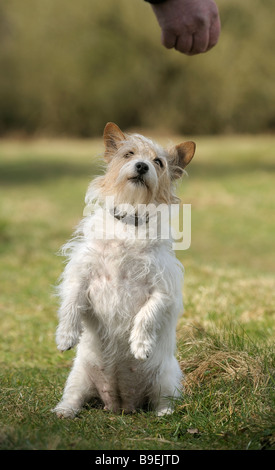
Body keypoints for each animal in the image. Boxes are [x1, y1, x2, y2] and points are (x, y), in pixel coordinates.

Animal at [53, 123, 196, 416]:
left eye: (158, 162)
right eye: (129, 154)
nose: (141, 166)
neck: (130, 221)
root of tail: (121, 404)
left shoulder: (163, 290)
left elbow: (147, 314)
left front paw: (140, 344)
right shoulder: (81, 275)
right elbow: (71, 302)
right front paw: (65, 336)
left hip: (167, 377)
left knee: (164, 399)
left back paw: (164, 412)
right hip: (78, 376)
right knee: (74, 397)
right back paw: (64, 411)